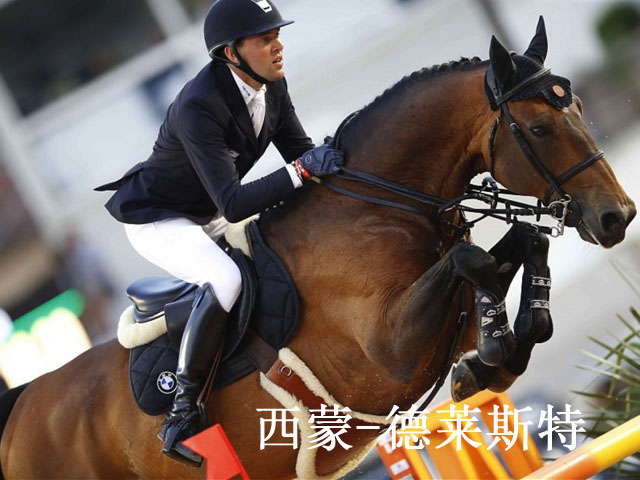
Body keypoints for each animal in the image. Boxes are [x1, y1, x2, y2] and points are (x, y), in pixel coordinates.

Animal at [0, 18, 635, 480]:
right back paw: (181, 427)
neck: (380, 205)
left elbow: (521, 245)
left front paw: (493, 358)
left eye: (579, 109)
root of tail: (22, 409)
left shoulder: (441, 329)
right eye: (539, 129)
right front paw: (496, 350)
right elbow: (470, 260)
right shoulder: (387, 350)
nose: (618, 217)